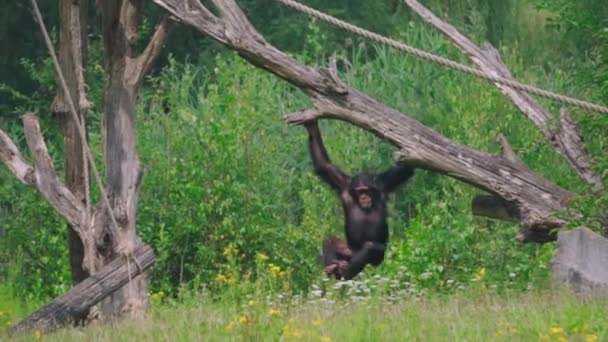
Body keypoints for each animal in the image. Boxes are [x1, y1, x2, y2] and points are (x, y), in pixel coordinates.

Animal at [304, 121, 414, 280]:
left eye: (366, 190)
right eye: (359, 191)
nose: (363, 196)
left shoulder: (384, 184)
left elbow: (406, 168)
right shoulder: (343, 185)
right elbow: (324, 164)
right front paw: (311, 125)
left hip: (375, 260)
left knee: (371, 248)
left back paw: (346, 270)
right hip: (348, 250)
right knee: (330, 240)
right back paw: (333, 267)